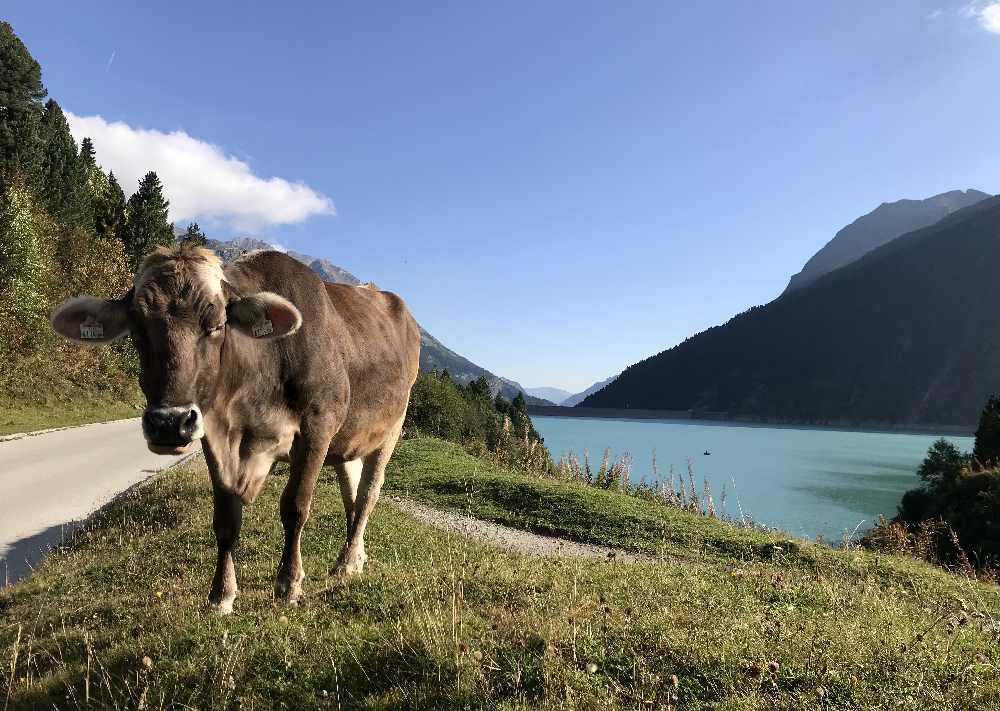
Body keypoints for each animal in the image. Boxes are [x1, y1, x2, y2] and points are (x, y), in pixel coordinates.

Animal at [51, 245, 418, 612]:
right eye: (138, 328)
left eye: (216, 325)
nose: (169, 423)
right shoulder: (213, 435)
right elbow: (226, 519)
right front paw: (221, 593)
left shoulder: (318, 425)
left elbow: (296, 506)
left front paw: (289, 584)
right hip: (348, 438)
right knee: (350, 490)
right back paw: (354, 558)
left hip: (392, 426)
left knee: (368, 493)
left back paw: (346, 561)